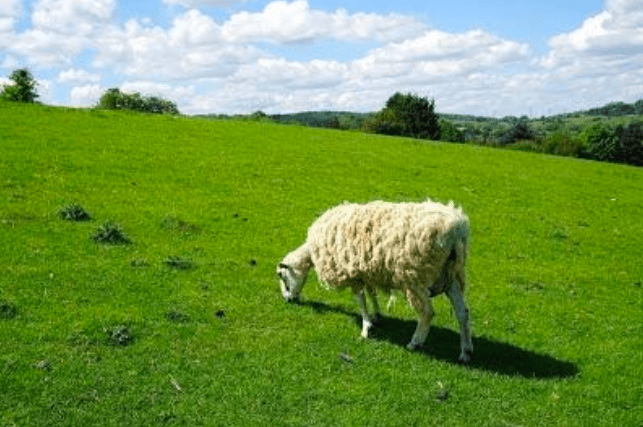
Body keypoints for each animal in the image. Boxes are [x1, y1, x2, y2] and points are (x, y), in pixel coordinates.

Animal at [277, 199, 474, 363]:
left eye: (283, 277)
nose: (288, 299)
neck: (312, 251)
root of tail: (458, 228)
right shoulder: (367, 272)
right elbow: (372, 294)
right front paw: (377, 315)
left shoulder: (354, 274)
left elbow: (360, 300)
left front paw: (366, 327)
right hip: (451, 275)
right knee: (462, 312)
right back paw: (466, 352)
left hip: (414, 276)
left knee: (427, 313)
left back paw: (415, 342)